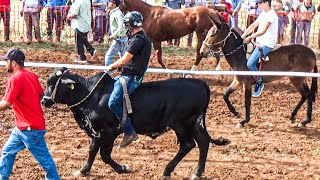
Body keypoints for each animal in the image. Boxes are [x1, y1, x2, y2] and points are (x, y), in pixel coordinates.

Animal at [41, 68, 230, 179]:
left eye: (52, 83)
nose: (44, 101)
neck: (91, 95)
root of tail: (200, 82)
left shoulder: (108, 132)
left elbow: (104, 155)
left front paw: (124, 168)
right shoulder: (96, 131)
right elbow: (92, 150)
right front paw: (83, 170)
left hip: (182, 124)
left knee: (188, 144)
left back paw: (168, 171)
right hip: (193, 124)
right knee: (203, 142)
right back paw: (196, 172)